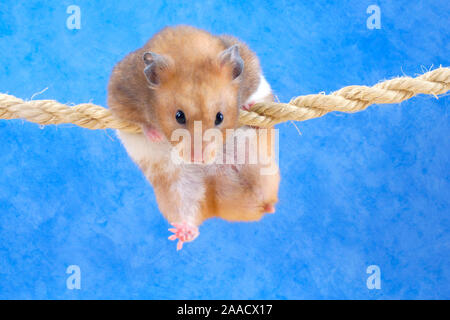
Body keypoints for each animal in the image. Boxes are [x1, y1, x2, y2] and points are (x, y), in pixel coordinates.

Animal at [107, 25, 280, 250]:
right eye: (179, 116)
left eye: (220, 117)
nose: (198, 158)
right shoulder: (120, 92)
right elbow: (134, 119)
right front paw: (154, 135)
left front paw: (246, 105)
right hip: (176, 191)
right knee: (188, 214)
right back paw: (183, 233)